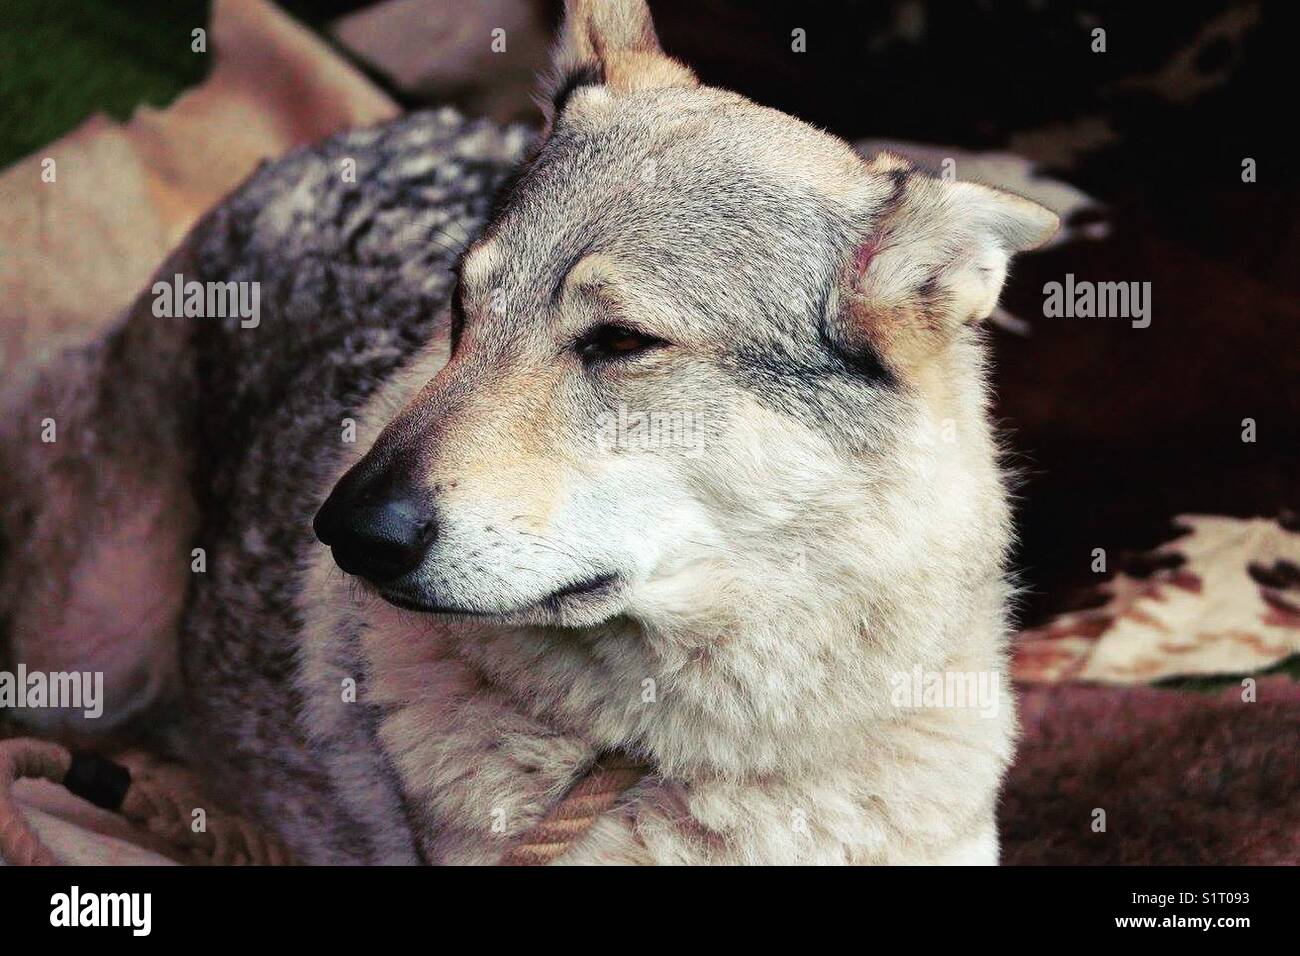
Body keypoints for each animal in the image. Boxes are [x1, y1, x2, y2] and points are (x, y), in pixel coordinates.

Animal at [0, 0, 1056, 864]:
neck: (700, 763)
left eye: (620, 341)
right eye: (462, 313)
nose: (347, 531)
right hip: (79, 662)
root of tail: (339, 141)